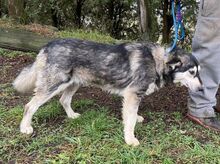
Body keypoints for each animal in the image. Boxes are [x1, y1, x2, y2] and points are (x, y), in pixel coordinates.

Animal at [13, 38, 203, 146]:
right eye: (191, 72)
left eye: (199, 72)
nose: (202, 89)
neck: (157, 62)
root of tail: (48, 45)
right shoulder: (132, 94)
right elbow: (129, 121)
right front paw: (130, 139)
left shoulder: (134, 96)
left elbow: (132, 115)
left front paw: (136, 119)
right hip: (52, 86)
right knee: (29, 106)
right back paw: (25, 127)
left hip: (73, 84)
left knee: (63, 100)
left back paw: (72, 116)